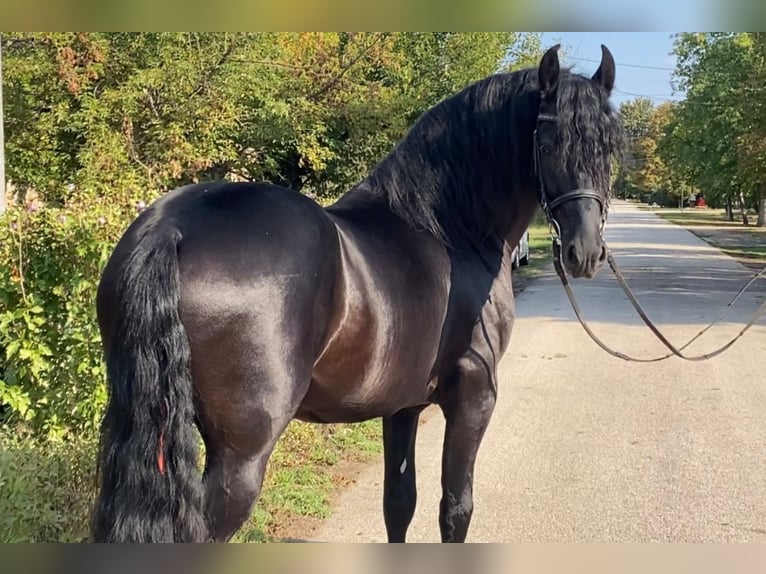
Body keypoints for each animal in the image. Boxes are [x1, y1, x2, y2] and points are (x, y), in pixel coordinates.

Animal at [93, 45, 628, 544]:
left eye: (609, 145)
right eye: (549, 140)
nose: (585, 251)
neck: (449, 229)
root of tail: (173, 228)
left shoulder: (402, 405)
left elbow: (399, 503)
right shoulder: (474, 397)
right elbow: (455, 509)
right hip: (240, 455)